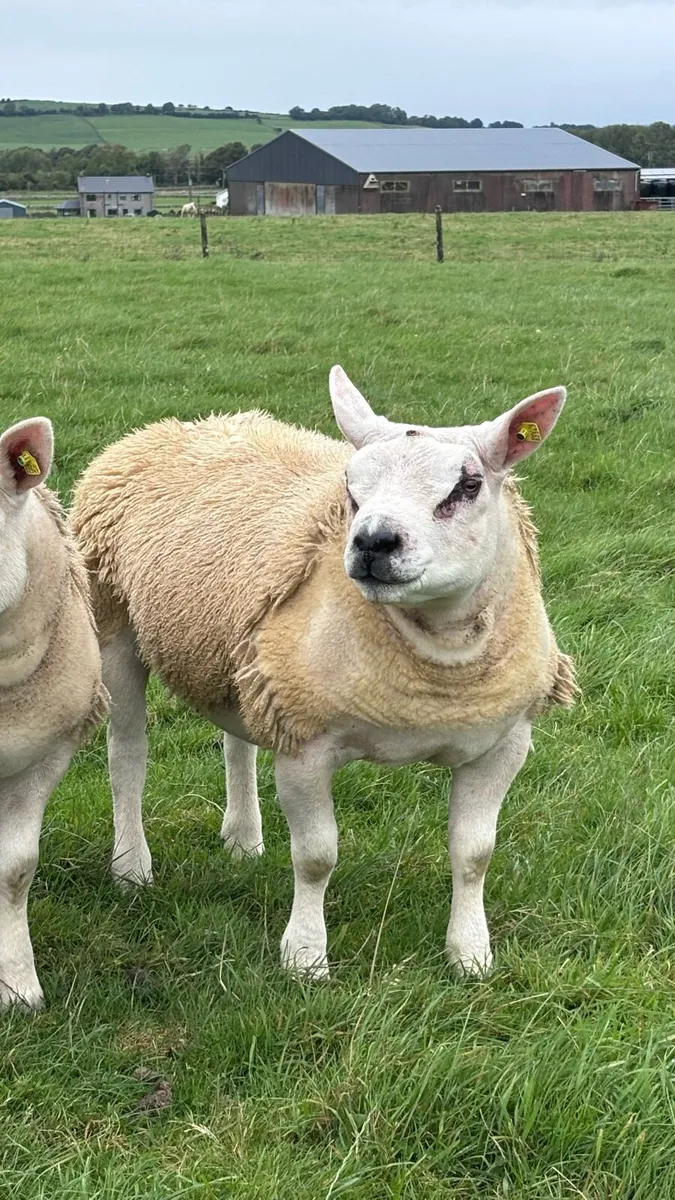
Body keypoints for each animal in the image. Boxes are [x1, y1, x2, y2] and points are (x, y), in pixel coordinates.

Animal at [71, 368, 577, 979]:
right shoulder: (307, 746)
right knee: (127, 756)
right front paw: (306, 959)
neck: (435, 670)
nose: (373, 542)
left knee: (237, 741)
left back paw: (243, 839)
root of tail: (175, 427)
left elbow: (474, 854)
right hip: (114, 621)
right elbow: (316, 858)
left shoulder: (503, 744)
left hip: (243, 648)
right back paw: (131, 866)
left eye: (469, 486)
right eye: (351, 490)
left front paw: (471, 956)